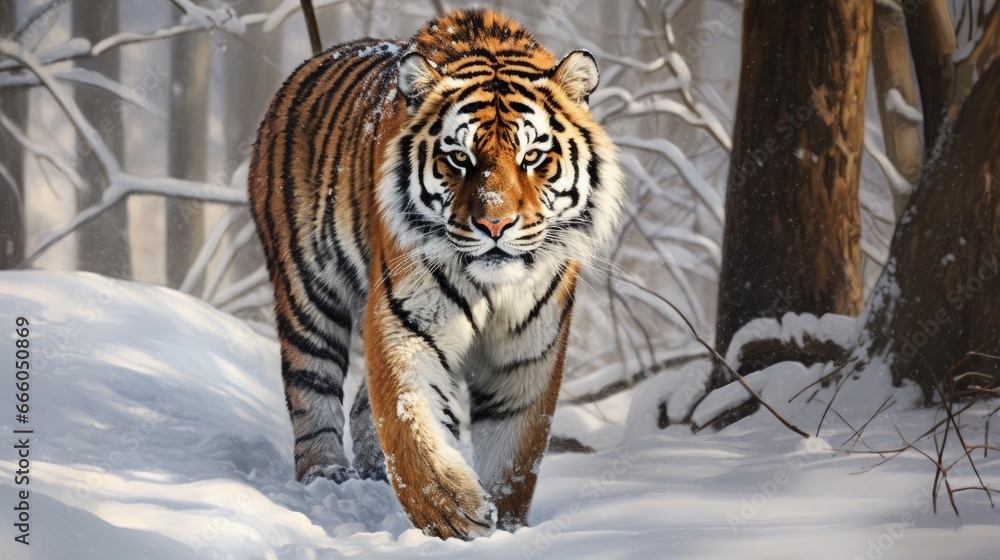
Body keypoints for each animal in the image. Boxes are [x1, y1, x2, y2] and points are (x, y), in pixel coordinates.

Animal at [248, 8, 624, 540]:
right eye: (459, 158)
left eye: (532, 157)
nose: (494, 224)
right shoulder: (409, 322)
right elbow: (410, 421)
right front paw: (453, 515)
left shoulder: (529, 351)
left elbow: (515, 454)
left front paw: (506, 527)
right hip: (308, 292)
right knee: (311, 388)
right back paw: (325, 476)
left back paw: (371, 473)